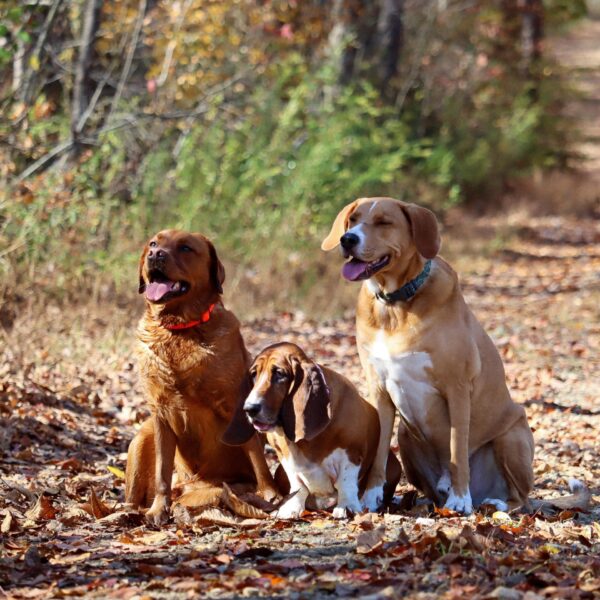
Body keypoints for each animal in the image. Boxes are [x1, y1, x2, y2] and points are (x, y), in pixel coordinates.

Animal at [126, 230, 278, 524]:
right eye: (153, 244)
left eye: (185, 248)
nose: (155, 254)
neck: (180, 329)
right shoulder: (160, 413)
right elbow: (162, 471)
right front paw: (158, 508)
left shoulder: (234, 404)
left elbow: (256, 455)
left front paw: (269, 493)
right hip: (140, 441)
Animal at [223, 344, 400, 516]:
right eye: (254, 374)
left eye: (279, 374)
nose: (249, 408)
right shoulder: (284, 456)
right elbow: (297, 484)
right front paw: (292, 508)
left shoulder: (352, 452)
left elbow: (346, 483)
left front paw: (347, 506)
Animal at [322, 198, 536, 516]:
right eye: (353, 219)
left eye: (384, 222)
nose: (347, 239)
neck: (395, 304)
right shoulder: (379, 389)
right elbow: (379, 452)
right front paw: (371, 496)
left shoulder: (457, 388)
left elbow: (458, 447)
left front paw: (460, 500)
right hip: (406, 436)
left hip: (512, 437)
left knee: (521, 497)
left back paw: (492, 501)